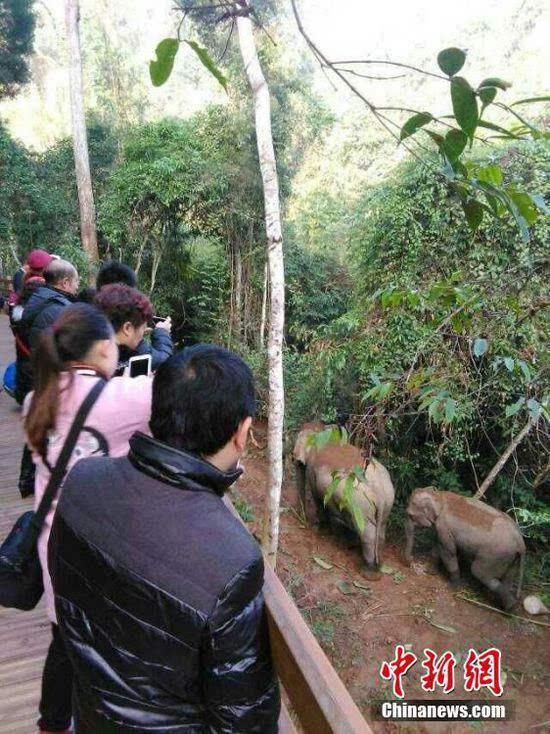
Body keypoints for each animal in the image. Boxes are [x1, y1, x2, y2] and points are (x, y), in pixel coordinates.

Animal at [294, 422, 396, 572]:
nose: (302, 521)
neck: (323, 432)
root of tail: (378, 487)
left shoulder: (312, 470)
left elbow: (317, 497)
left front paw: (319, 529)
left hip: (360, 503)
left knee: (366, 531)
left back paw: (367, 568)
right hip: (388, 501)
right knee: (381, 527)